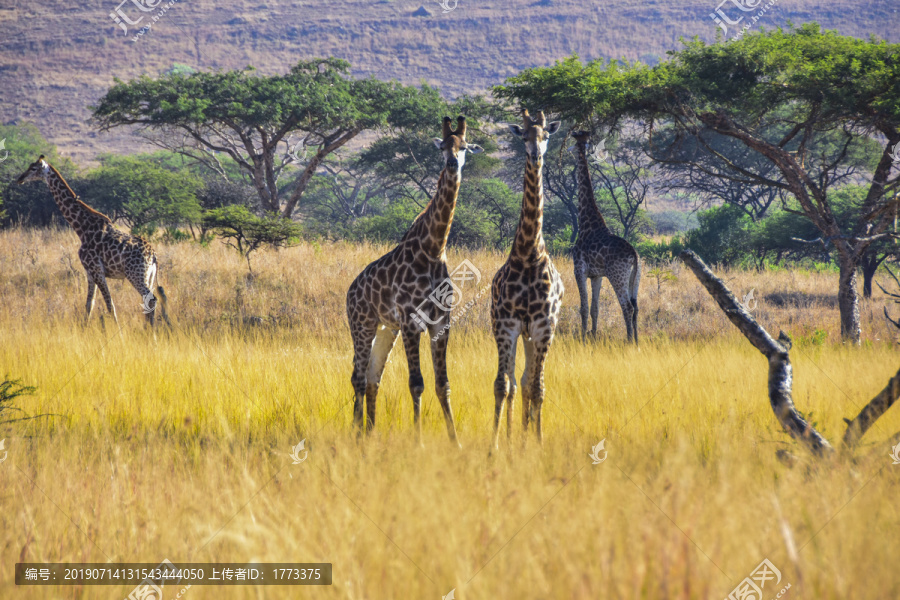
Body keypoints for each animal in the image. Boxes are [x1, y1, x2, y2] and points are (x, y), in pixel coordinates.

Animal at [16, 152, 170, 326]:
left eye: (33, 168)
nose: (20, 178)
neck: (82, 228)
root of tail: (153, 255)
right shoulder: (89, 271)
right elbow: (89, 303)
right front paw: (84, 328)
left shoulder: (97, 269)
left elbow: (109, 304)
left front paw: (118, 332)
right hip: (148, 275)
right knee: (149, 301)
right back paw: (149, 329)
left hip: (135, 274)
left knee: (151, 299)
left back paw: (152, 331)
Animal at [346, 117, 486, 446]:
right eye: (443, 146)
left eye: (464, 147)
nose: (452, 163)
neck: (434, 249)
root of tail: (349, 291)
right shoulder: (411, 322)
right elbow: (417, 383)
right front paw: (418, 440)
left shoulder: (441, 323)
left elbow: (442, 383)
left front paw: (455, 441)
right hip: (362, 324)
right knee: (357, 376)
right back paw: (356, 434)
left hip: (386, 329)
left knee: (373, 377)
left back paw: (370, 431)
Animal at [568, 132, 640, 344]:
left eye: (573, 144)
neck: (586, 222)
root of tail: (634, 255)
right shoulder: (597, 275)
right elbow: (595, 308)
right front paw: (593, 334)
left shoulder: (579, 269)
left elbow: (584, 308)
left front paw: (583, 338)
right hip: (634, 277)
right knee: (636, 307)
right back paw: (637, 340)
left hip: (618, 276)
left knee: (627, 306)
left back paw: (629, 341)